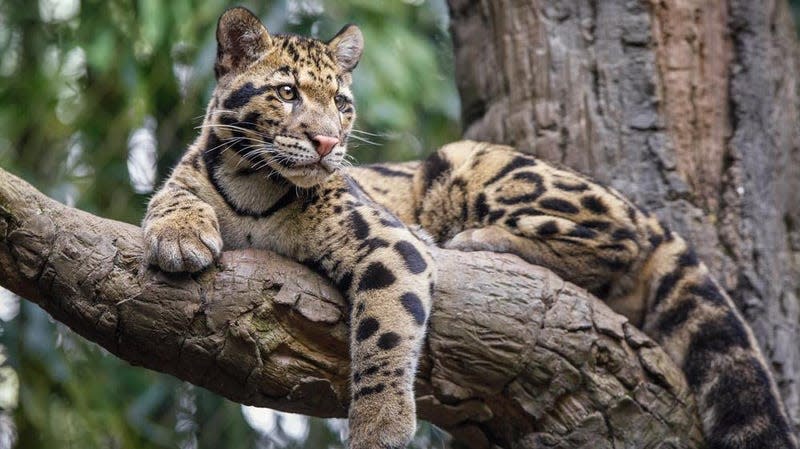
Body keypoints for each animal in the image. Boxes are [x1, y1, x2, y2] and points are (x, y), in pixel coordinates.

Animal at [144, 6, 792, 448]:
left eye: (343, 104)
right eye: (286, 92)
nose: (329, 142)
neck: (255, 184)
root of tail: (644, 209)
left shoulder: (389, 240)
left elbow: (384, 333)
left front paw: (379, 427)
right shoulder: (191, 175)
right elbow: (170, 196)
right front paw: (179, 236)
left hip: (473, 163)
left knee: (618, 241)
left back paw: (478, 239)